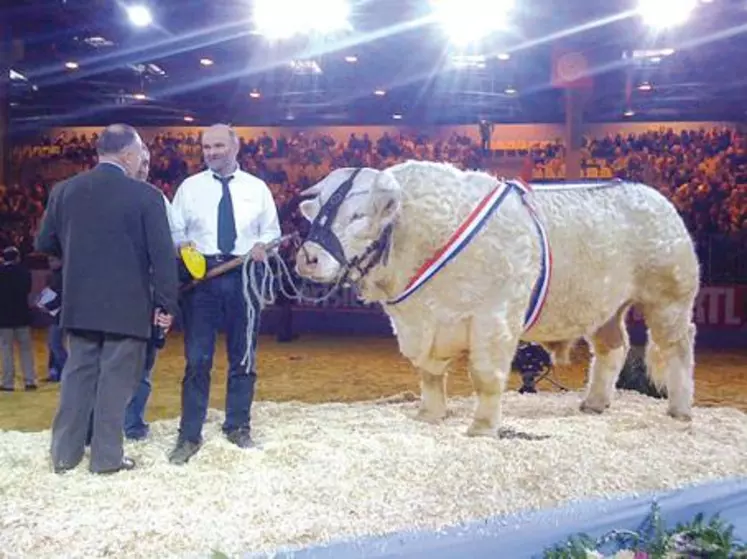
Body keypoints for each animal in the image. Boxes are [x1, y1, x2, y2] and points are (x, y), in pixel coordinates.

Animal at [294, 162, 700, 438]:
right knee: (612, 348)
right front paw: (429, 415)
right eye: (316, 215)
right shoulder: (422, 325)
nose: (308, 257)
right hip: (605, 308)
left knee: (678, 348)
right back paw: (594, 403)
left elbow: (486, 376)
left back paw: (680, 410)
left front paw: (482, 428)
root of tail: (653, 195)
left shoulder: (495, 318)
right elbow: (430, 375)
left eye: (357, 215)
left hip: (669, 300)